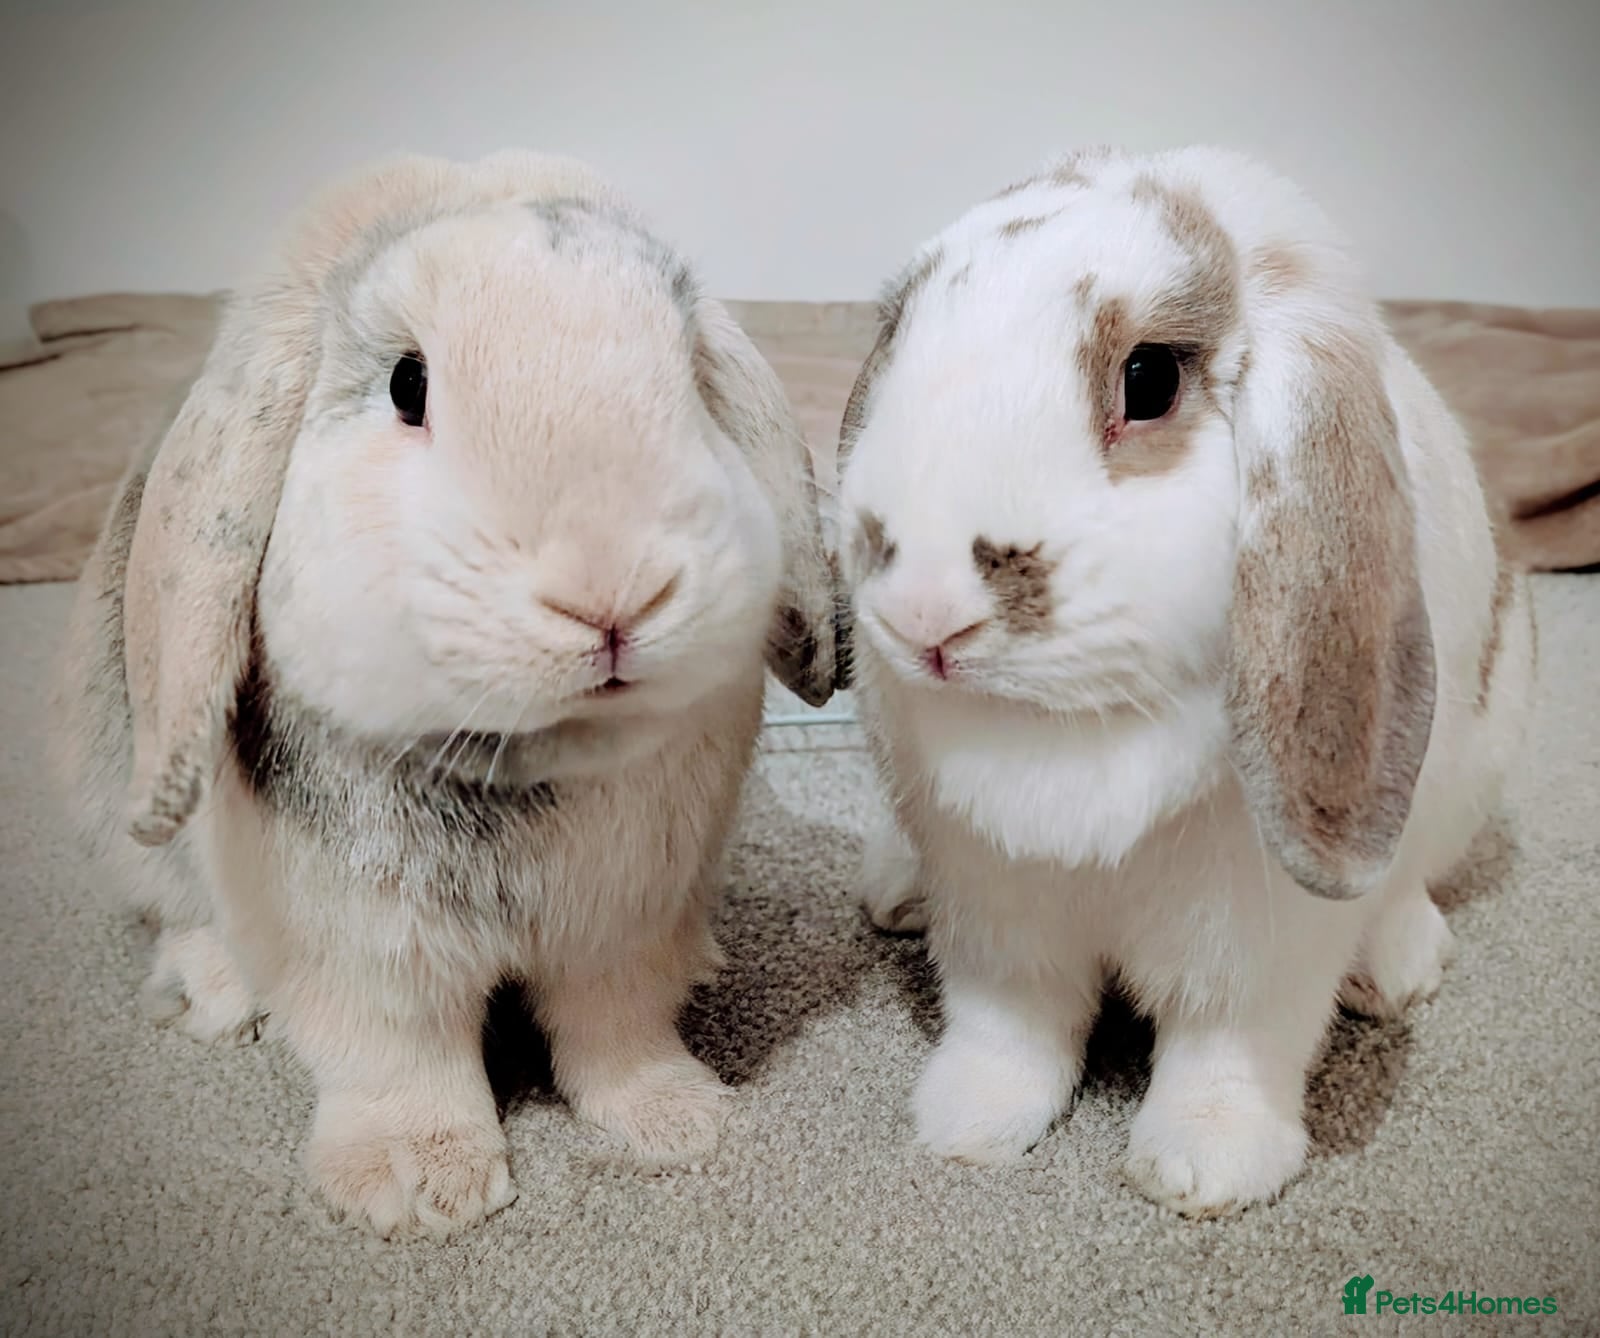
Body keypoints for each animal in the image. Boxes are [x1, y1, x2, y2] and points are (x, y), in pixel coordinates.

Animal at [51, 149, 843, 1239]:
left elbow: (618, 1029)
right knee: (176, 908)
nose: (614, 598)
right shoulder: (360, 943)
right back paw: (217, 999)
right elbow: (398, 1055)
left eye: (690, 375)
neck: (529, 757)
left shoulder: (626, 920)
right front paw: (420, 1190)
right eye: (408, 384)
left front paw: (680, 1125)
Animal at [834, 144, 1536, 1216]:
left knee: (1414, 881)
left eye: (1151, 378)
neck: (1068, 731)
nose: (922, 614)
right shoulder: (995, 899)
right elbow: (1010, 1021)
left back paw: (1396, 970)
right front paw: (967, 1128)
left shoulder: (1260, 939)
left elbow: (1230, 1041)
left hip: (1471, 769)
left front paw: (1204, 1169)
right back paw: (894, 893)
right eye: (899, 336)